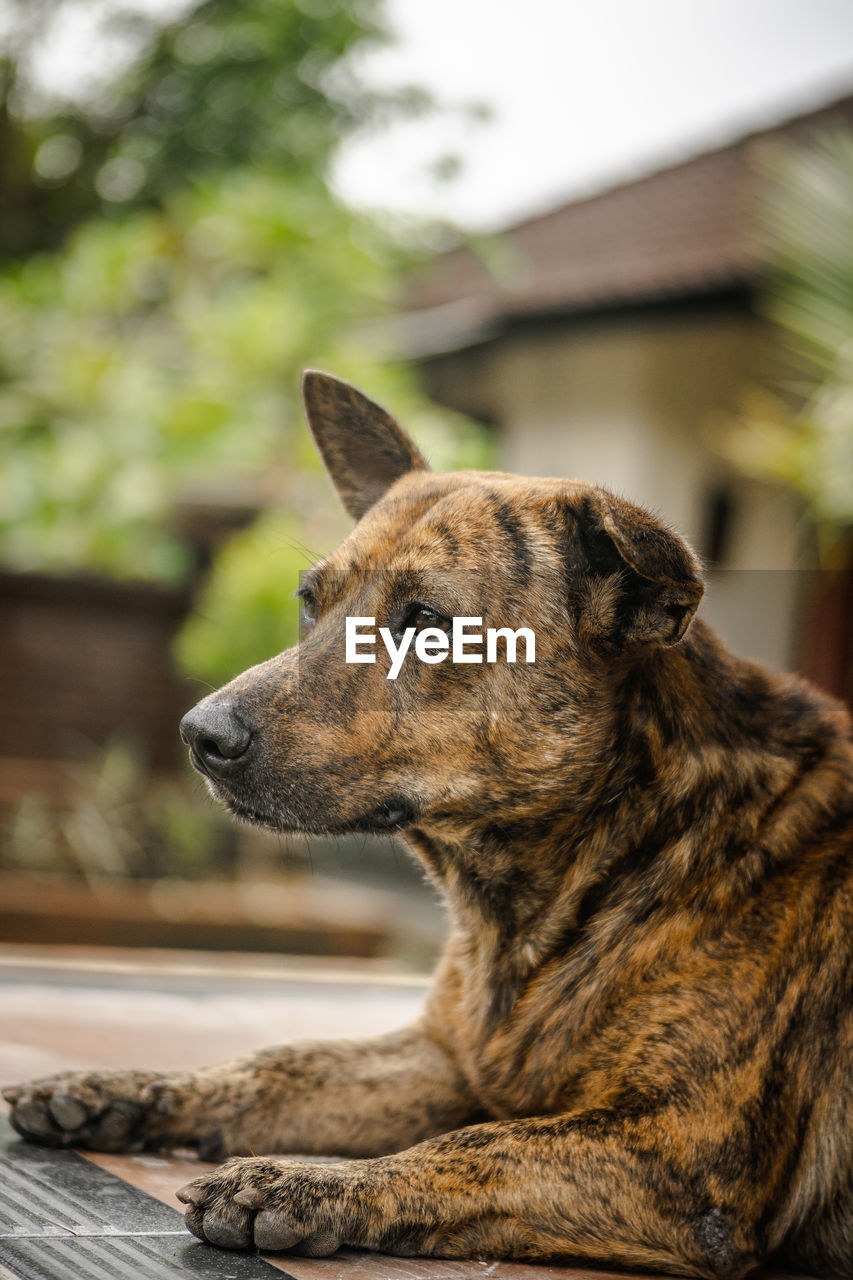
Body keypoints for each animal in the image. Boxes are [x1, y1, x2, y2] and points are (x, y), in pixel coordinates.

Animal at [6, 373, 850, 1280]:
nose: (200, 736)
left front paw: (305, 1185)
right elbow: (281, 1064)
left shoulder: (675, 1156)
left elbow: (477, 1146)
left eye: (426, 621)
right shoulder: (443, 1064)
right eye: (308, 604)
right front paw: (122, 1090)